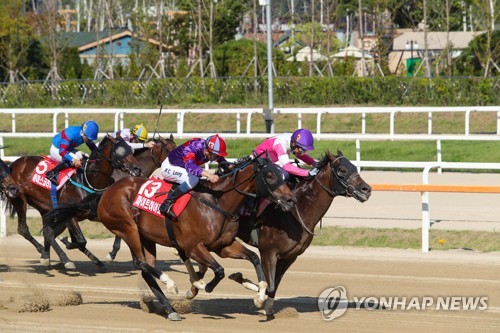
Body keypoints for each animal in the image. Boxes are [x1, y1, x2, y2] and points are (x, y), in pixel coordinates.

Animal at [0, 134, 141, 268]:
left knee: (47, 231)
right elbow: (81, 241)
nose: (137, 169)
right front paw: (67, 244)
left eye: (131, 149)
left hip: (45, 207)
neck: (88, 179)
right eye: (121, 151)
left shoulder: (94, 212)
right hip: (19, 199)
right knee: (24, 229)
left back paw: (48, 257)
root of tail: (13, 164)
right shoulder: (70, 216)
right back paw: (54, 255)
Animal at [45, 155, 296, 320]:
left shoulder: (223, 245)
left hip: (146, 237)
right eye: (270, 175)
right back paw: (170, 283)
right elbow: (218, 270)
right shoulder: (194, 246)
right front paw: (201, 285)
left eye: (284, 175)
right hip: (127, 228)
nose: (291, 200)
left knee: (146, 267)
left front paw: (260, 293)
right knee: (140, 262)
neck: (217, 202)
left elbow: (254, 257)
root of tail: (105, 193)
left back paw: (169, 309)